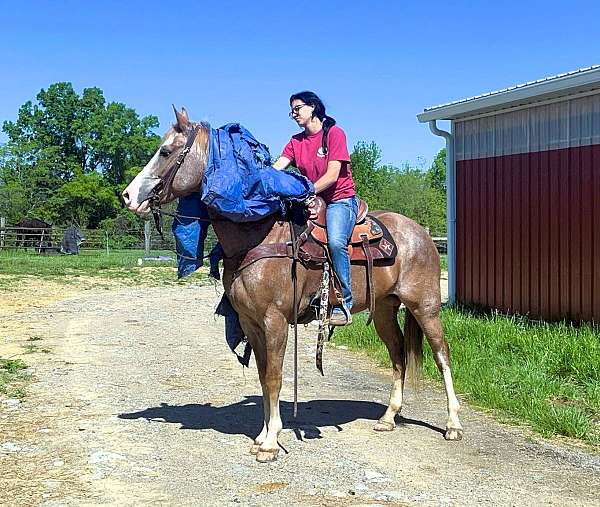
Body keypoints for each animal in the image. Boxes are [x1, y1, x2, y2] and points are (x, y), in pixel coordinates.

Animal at [120, 109, 460, 462]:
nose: (127, 196)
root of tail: (421, 233)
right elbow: (262, 377)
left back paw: (452, 425)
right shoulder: (251, 322)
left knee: (442, 355)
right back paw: (388, 418)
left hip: (425, 307)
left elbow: (274, 377)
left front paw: (271, 442)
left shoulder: (275, 321)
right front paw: (261, 435)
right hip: (384, 310)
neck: (261, 236)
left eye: (165, 151)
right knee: (398, 355)